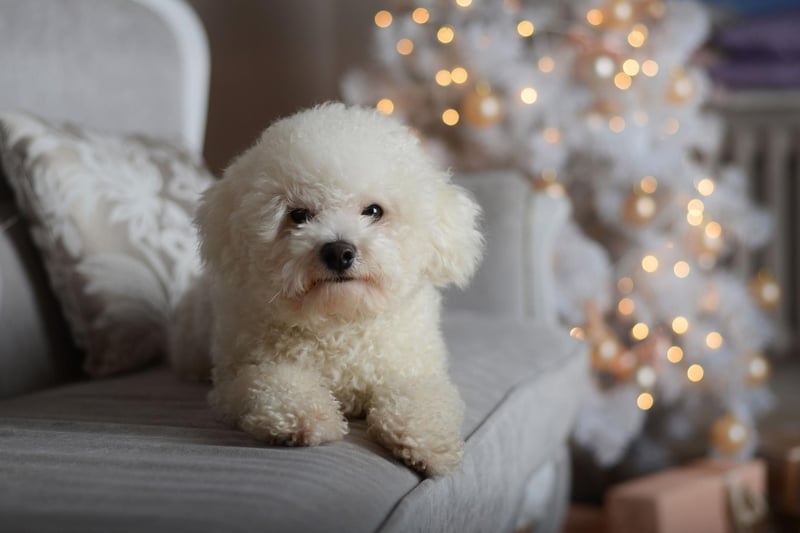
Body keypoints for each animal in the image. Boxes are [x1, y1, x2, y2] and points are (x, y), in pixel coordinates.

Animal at [171, 102, 482, 476]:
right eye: (299, 215)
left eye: (373, 211)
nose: (339, 252)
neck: (339, 323)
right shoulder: (235, 381)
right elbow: (272, 380)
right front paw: (302, 417)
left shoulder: (414, 369)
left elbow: (421, 396)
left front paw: (428, 441)